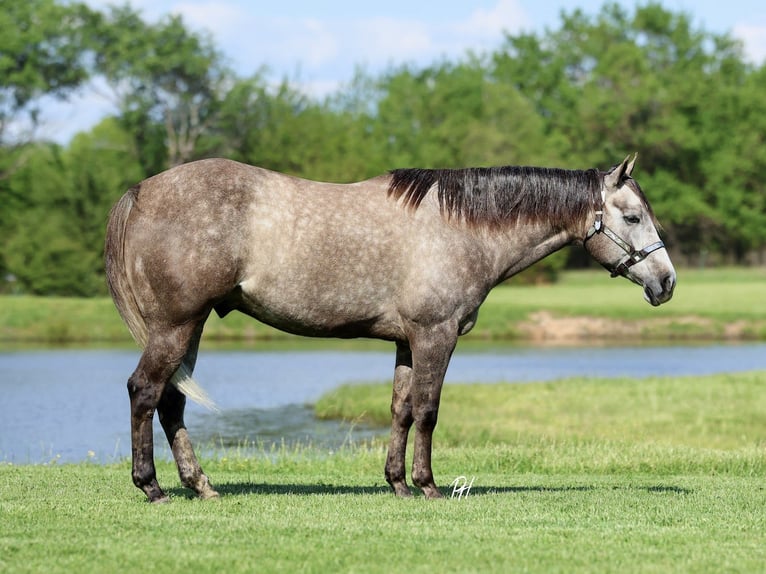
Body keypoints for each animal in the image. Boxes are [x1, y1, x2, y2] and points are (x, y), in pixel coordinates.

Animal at [105, 154, 675, 502]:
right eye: (632, 217)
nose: (666, 282)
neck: (459, 228)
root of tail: (141, 190)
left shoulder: (406, 341)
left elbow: (400, 410)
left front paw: (397, 483)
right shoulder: (435, 335)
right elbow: (427, 410)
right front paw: (428, 486)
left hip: (190, 328)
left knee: (171, 402)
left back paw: (200, 484)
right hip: (175, 326)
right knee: (144, 391)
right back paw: (152, 486)